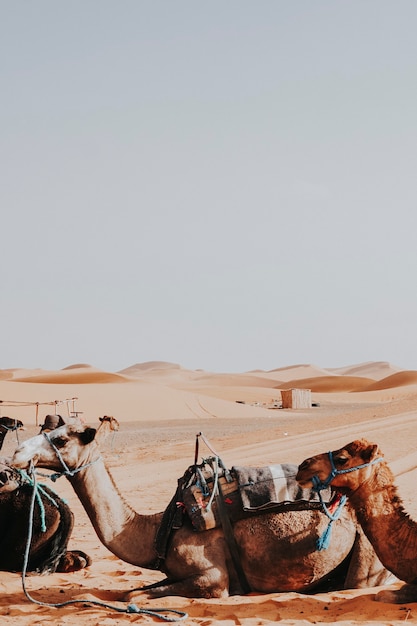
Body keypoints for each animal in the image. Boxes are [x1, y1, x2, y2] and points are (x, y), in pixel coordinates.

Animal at [9, 422, 392, 596]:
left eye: (60, 439)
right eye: (48, 428)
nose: (16, 454)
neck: (158, 529)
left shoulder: (213, 578)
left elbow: (137, 592)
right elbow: (137, 589)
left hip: (366, 552)